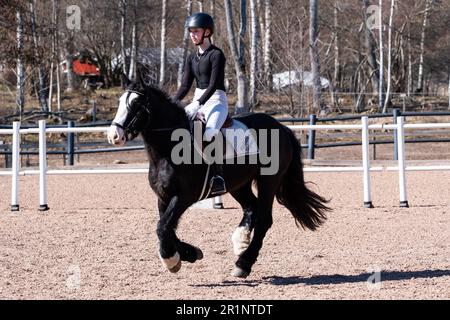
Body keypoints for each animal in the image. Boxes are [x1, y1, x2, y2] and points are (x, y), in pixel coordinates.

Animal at [107, 82, 328, 278]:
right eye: (120, 102)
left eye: (136, 104)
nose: (114, 135)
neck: (167, 150)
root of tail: (281, 127)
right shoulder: (163, 197)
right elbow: (166, 227)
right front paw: (189, 254)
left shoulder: (184, 196)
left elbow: (163, 227)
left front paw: (171, 260)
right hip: (239, 184)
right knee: (251, 208)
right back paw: (240, 241)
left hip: (269, 181)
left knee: (264, 219)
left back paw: (243, 263)